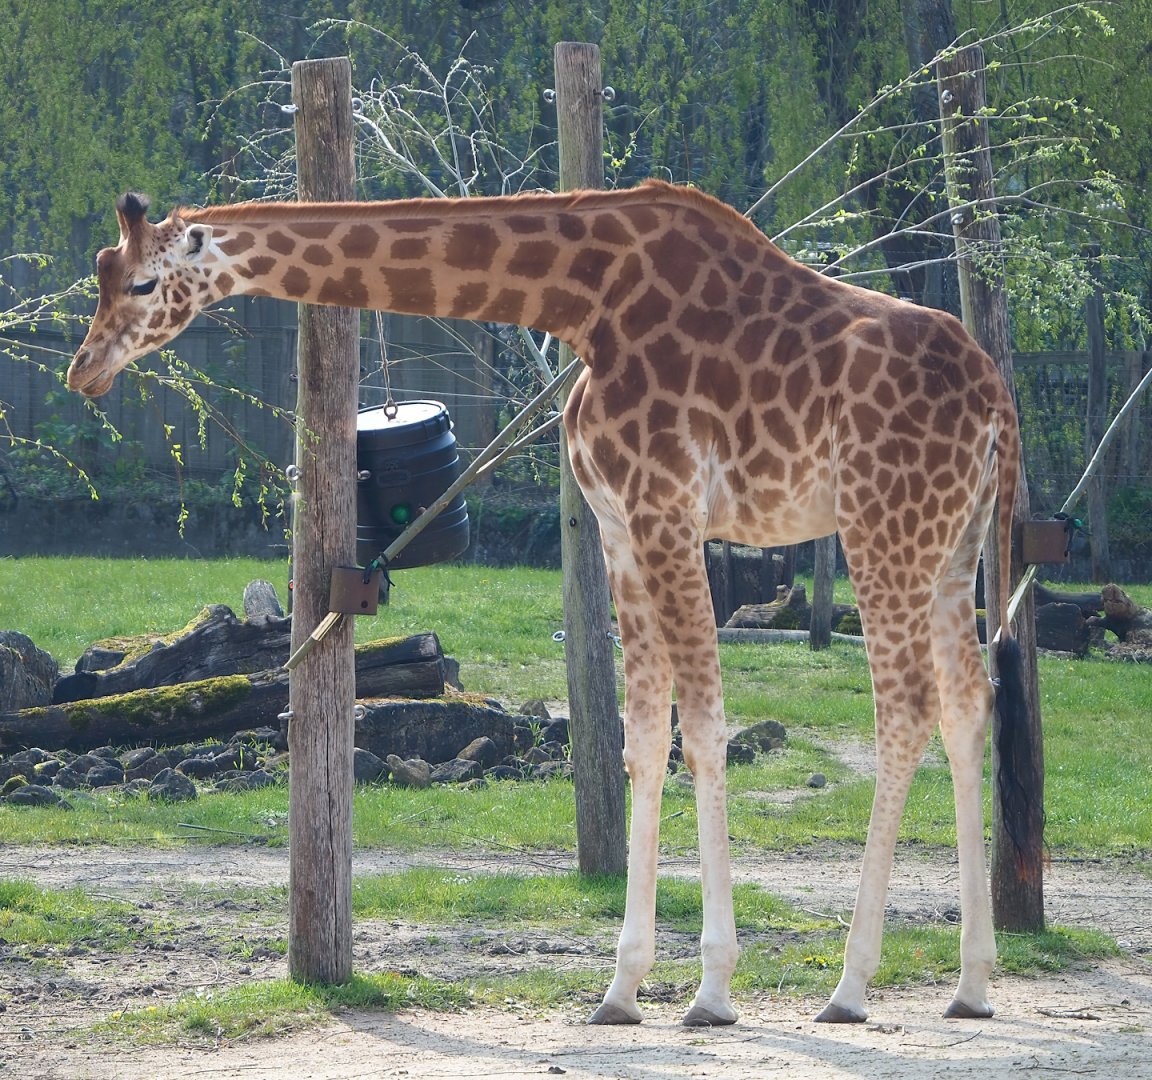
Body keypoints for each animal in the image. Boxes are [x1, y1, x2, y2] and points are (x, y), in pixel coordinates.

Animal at [68, 181, 1028, 1027]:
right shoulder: (619, 527)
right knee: (965, 703)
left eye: (144, 283)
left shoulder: (667, 510)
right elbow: (642, 739)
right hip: (952, 545)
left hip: (880, 523)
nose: (85, 370)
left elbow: (703, 728)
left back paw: (851, 988)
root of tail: (998, 399)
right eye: (100, 273)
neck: (581, 302)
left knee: (904, 710)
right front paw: (623, 990)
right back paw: (972, 984)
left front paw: (712, 991)